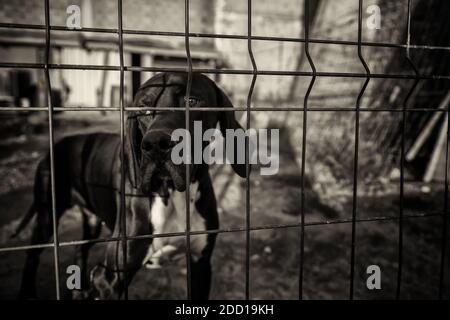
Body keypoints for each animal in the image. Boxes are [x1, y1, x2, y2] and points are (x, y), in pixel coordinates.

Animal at [15, 72, 248, 300]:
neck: (170, 193)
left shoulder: (201, 264)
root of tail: (54, 147)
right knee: (32, 254)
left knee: (80, 249)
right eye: (143, 108)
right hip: (47, 214)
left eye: (192, 101)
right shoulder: (109, 279)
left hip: (91, 221)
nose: (156, 145)